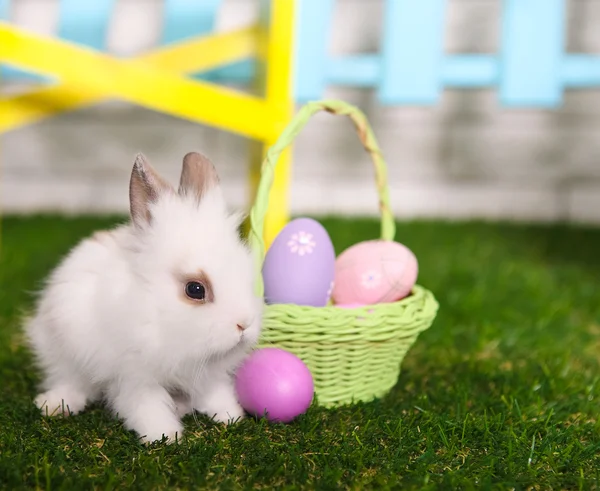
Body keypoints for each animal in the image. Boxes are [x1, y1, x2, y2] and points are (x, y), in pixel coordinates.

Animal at [24, 152, 262, 444]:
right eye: (195, 289)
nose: (244, 324)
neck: (156, 313)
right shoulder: (135, 377)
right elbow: (147, 406)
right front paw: (166, 436)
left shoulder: (207, 374)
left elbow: (215, 393)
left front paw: (232, 416)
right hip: (60, 349)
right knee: (70, 381)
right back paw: (53, 405)